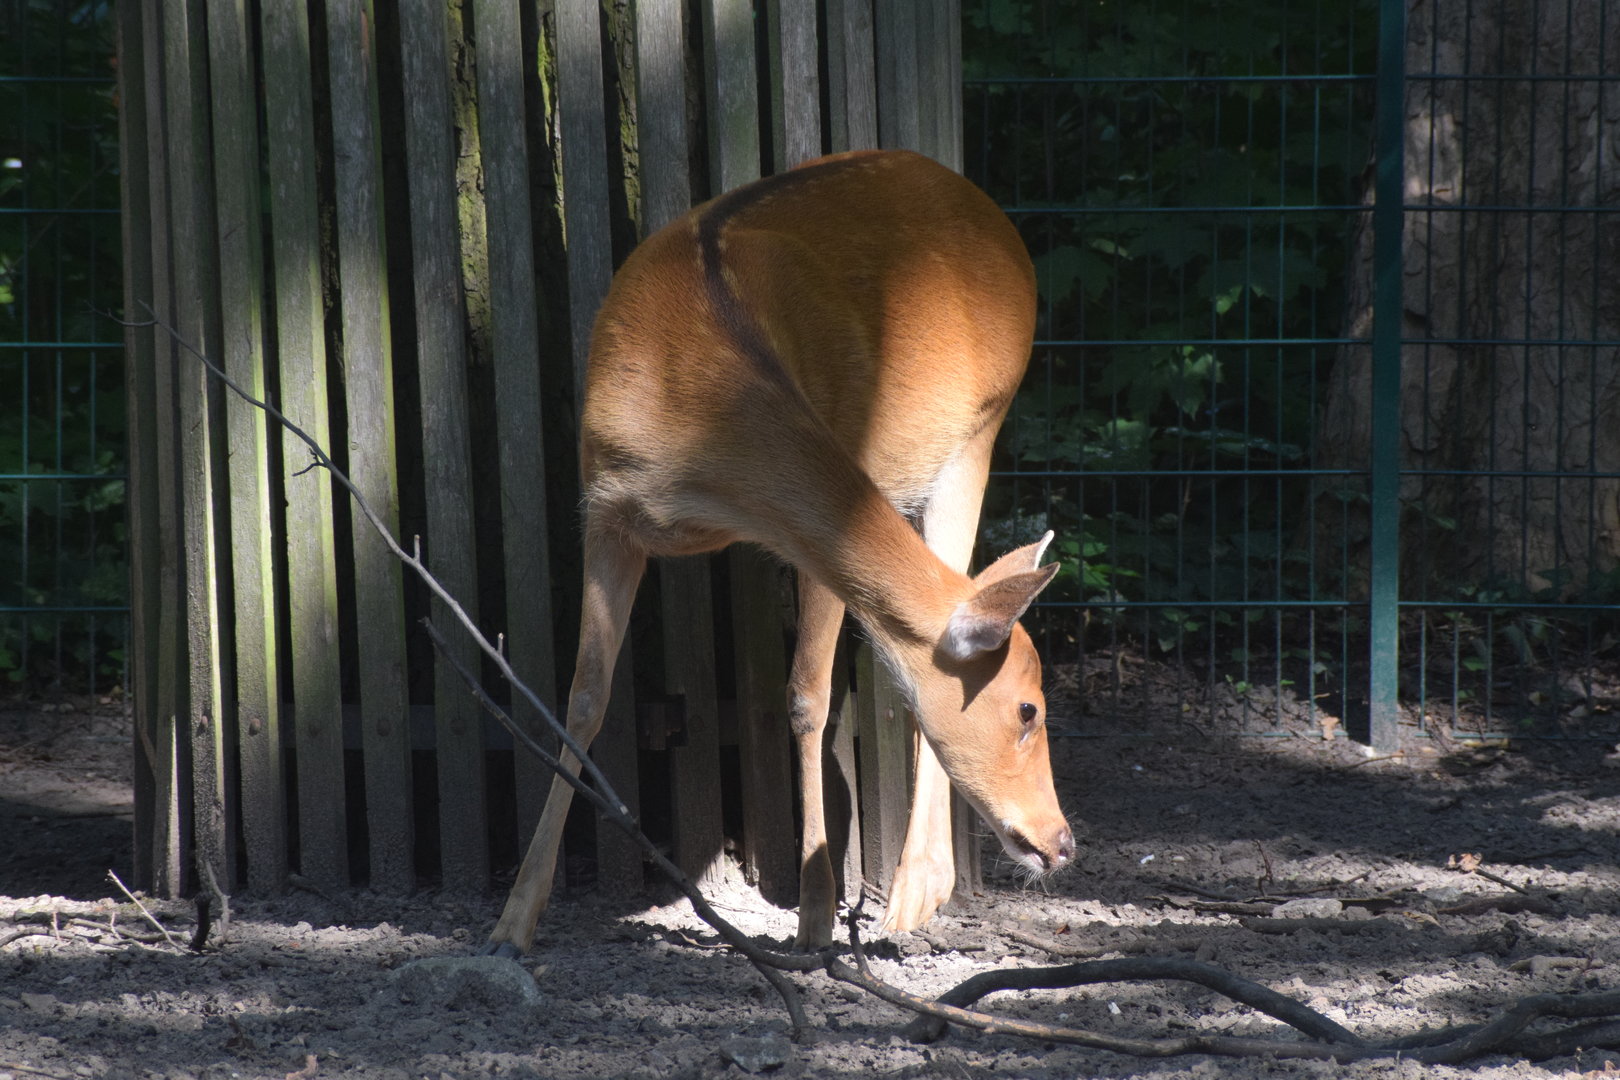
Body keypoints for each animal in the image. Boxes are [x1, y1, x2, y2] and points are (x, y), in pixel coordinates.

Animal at [483, 148, 1073, 957]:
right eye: (1027, 709)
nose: (1062, 841)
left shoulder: (830, 499)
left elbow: (805, 695)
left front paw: (816, 917)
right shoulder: (605, 510)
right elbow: (583, 698)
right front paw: (512, 921)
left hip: (980, 426)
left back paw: (911, 897)